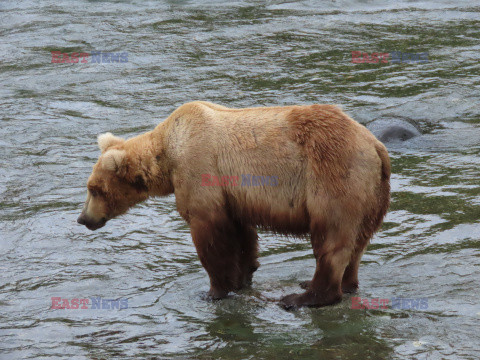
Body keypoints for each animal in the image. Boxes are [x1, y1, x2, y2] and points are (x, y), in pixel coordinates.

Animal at [76, 100, 390, 310]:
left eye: (94, 189)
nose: (83, 219)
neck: (168, 153)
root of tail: (376, 145)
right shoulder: (235, 196)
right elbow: (242, 235)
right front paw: (244, 275)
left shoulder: (200, 169)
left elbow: (211, 235)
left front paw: (214, 290)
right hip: (372, 195)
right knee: (357, 243)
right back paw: (339, 284)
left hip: (332, 175)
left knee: (331, 238)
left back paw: (302, 297)